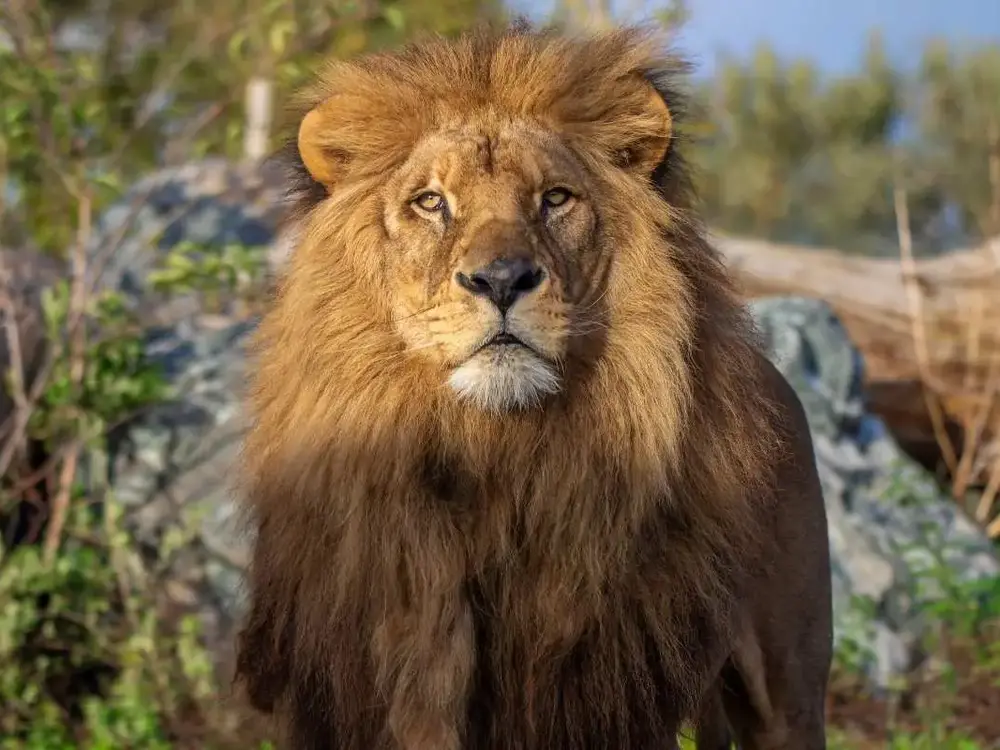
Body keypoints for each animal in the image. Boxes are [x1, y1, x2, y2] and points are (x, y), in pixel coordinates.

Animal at [233, 20, 833, 750]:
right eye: (431, 203)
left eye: (554, 199)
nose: (500, 280)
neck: (495, 456)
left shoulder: (600, 693)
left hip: (788, 683)